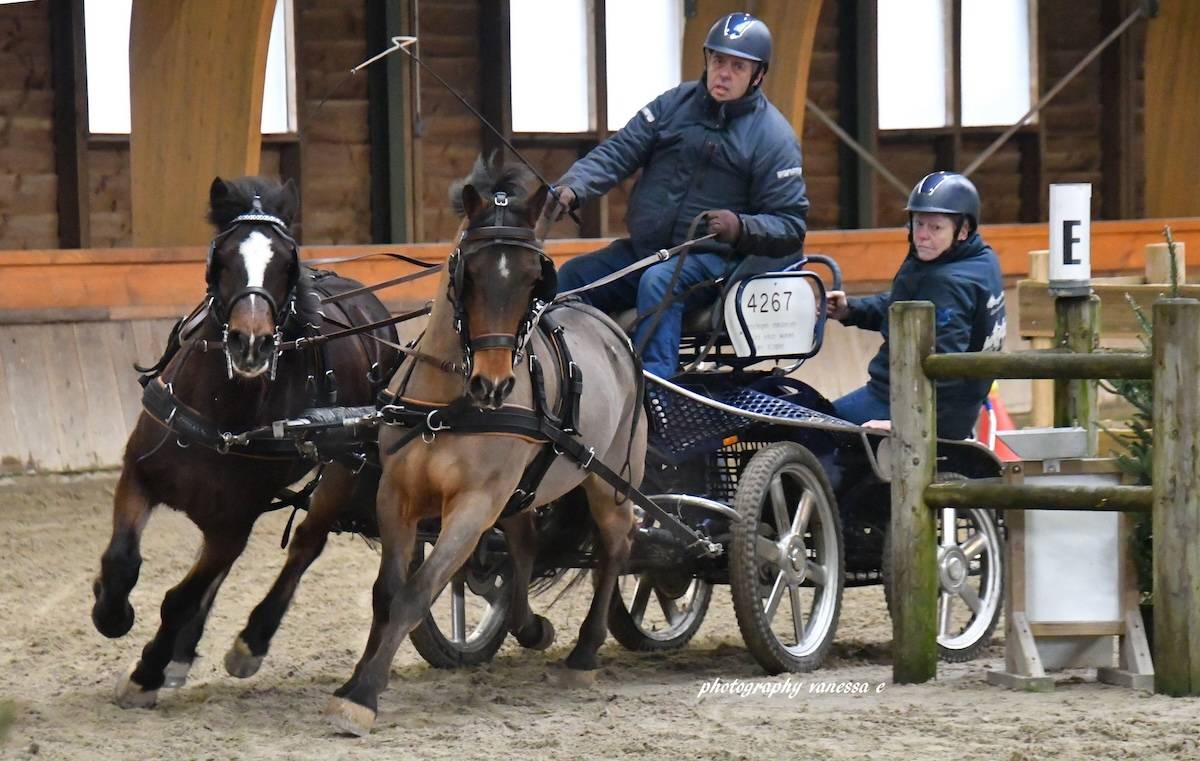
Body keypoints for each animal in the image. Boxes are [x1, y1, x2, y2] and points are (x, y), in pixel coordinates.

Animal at [91, 176, 400, 708]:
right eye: (224, 257)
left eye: (285, 263)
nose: (250, 342)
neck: (221, 407)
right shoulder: (139, 474)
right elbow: (123, 561)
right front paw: (112, 613)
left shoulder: (232, 523)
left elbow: (181, 598)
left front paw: (145, 672)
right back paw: (181, 653)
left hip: (345, 466)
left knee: (306, 544)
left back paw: (249, 643)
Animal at [323, 162, 647, 736]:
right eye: (467, 274)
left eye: (534, 278)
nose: (493, 385)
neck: (447, 404)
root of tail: (613, 329)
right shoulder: (396, 495)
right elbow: (386, 593)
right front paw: (355, 682)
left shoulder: (473, 506)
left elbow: (417, 591)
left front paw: (364, 695)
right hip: (520, 490)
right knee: (524, 544)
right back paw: (530, 627)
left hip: (611, 481)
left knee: (616, 546)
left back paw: (584, 654)